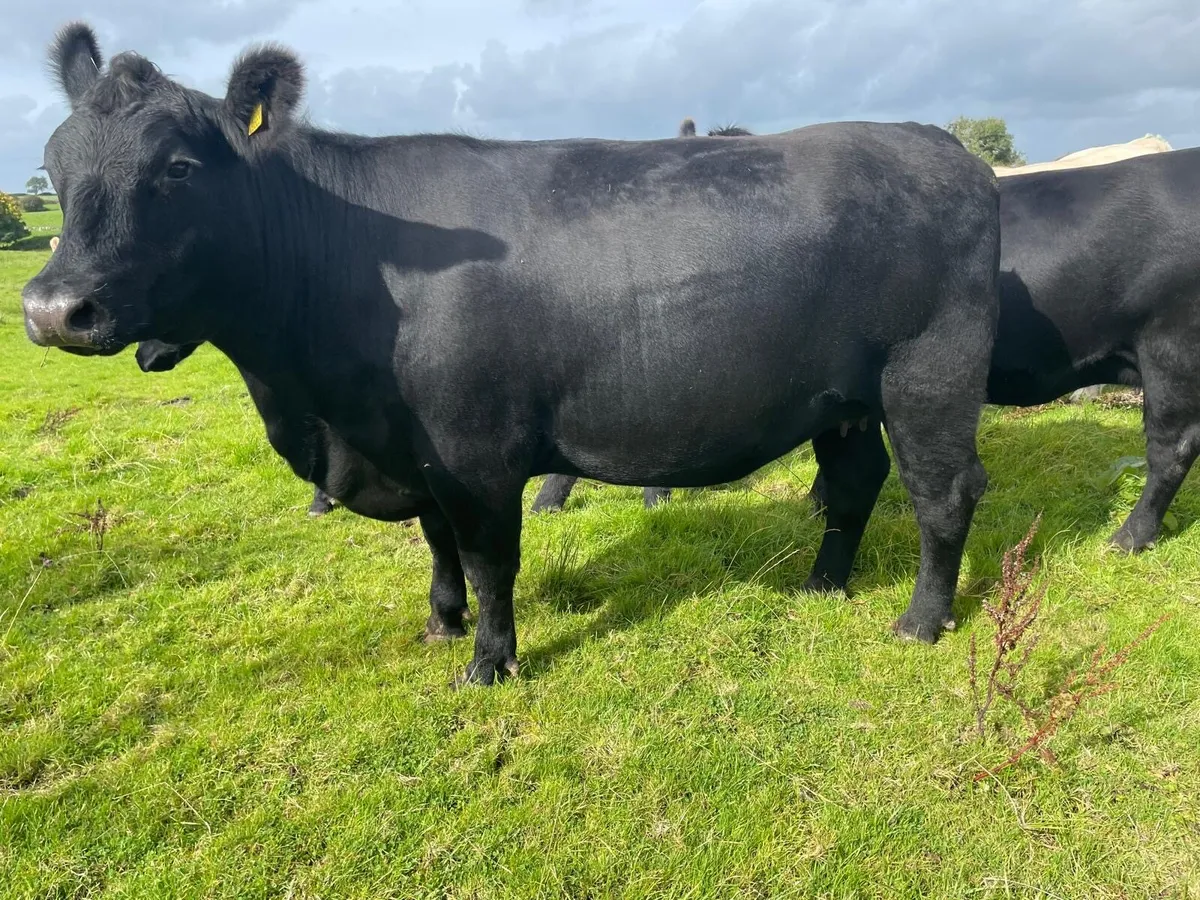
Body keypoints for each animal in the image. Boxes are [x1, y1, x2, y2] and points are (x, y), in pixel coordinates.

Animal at [22, 23, 1001, 684]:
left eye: (179, 167)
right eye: (55, 162)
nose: (52, 307)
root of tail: (941, 144)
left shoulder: (474, 448)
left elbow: (491, 557)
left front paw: (490, 662)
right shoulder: (410, 445)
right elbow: (437, 547)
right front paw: (442, 624)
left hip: (930, 373)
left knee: (942, 492)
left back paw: (921, 620)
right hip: (843, 397)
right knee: (852, 484)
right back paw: (823, 586)